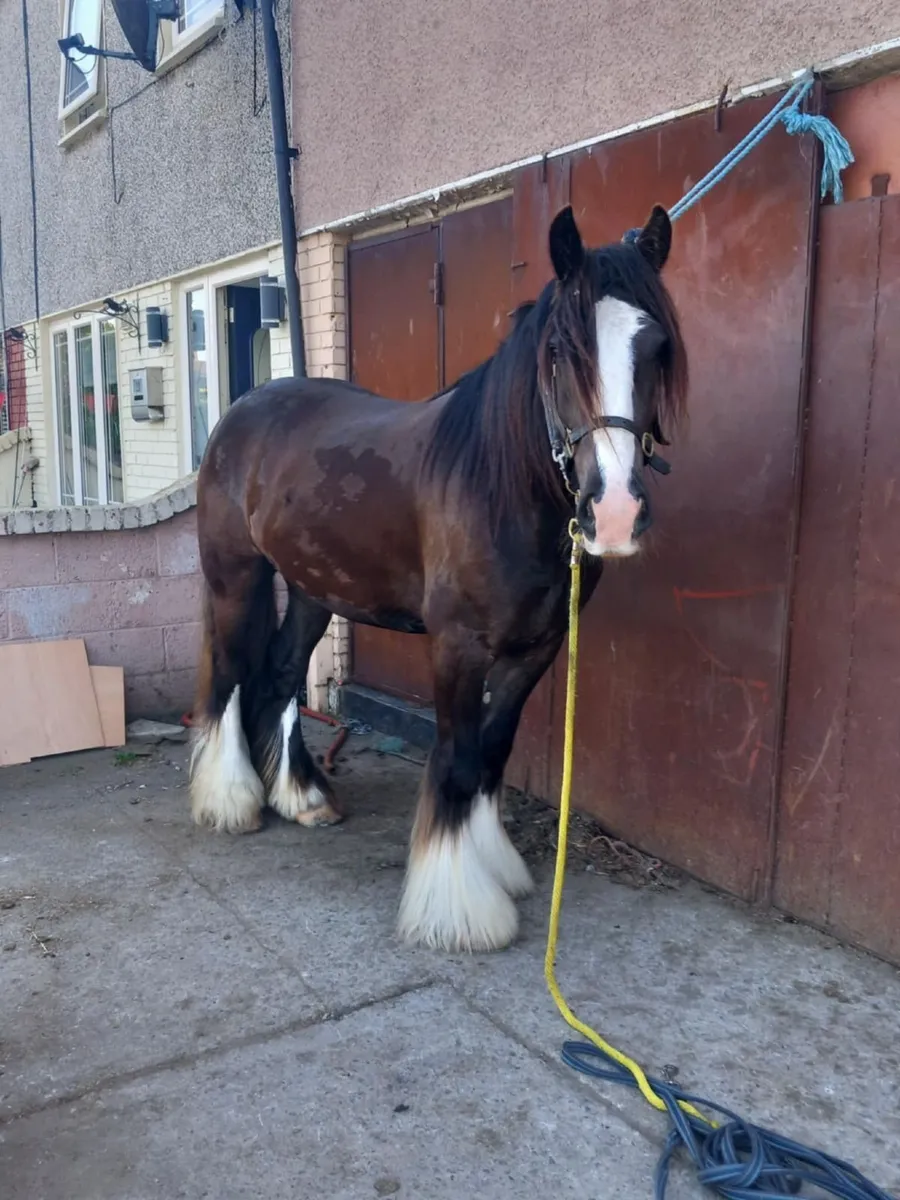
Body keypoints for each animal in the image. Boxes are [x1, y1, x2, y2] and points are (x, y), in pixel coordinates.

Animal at [189, 204, 688, 953]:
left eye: (655, 346)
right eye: (559, 351)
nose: (616, 513)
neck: (499, 486)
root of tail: (244, 412)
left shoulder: (536, 652)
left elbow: (490, 752)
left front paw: (495, 868)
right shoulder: (456, 647)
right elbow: (454, 756)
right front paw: (457, 909)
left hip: (312, 589)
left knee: (278, 674)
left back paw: (304, 797)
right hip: (235, 575)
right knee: (228, 674)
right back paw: (229, 801)